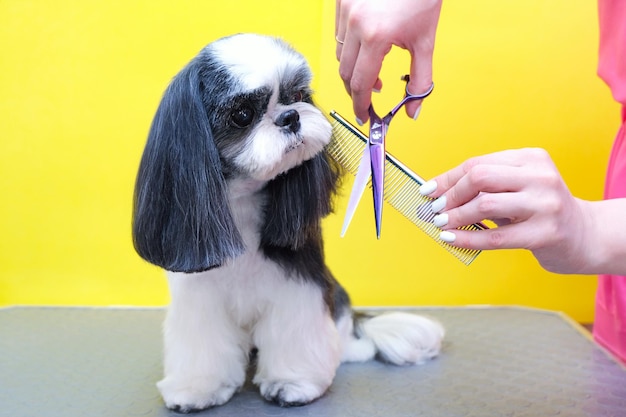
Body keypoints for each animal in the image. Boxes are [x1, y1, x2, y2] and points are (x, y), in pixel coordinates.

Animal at [132, 34, 444, 412]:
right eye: (242, 114)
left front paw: (293, 383)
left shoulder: (299, 283)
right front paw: (197, 387)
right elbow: (203, 344)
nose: (291, 116)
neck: (244, 201)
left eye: (297, 95)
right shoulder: (199, 296)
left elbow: (295, 332)